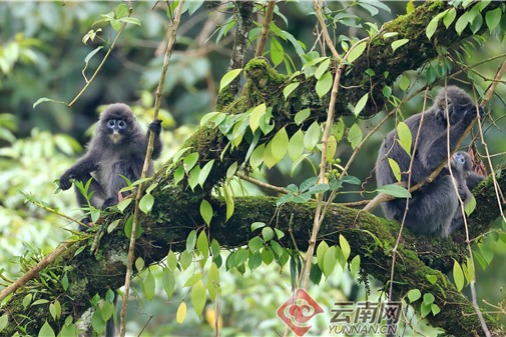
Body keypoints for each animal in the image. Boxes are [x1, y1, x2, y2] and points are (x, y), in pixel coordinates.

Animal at [374, 85, 484, 238]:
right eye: (464, 109)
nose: (465, 114)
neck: (439, 118)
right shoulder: (430, 127)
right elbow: (430, 159)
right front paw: (467, 119)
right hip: (419, 215)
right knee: (448, 182)